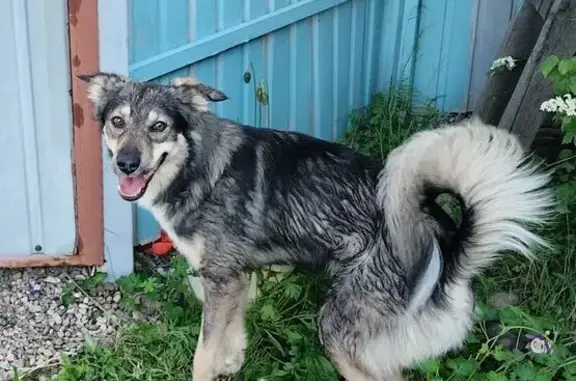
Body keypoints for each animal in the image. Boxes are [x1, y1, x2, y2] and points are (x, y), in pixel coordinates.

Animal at [79, 72, 556, 378]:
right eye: (117, 122)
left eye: (159, 127)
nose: (126, 163)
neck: (198, 166)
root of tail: (449, 246)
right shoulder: (234, 278)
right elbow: (229, 333)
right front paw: (233, 359)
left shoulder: (221, 279)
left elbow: (202, 355)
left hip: (339, 332)